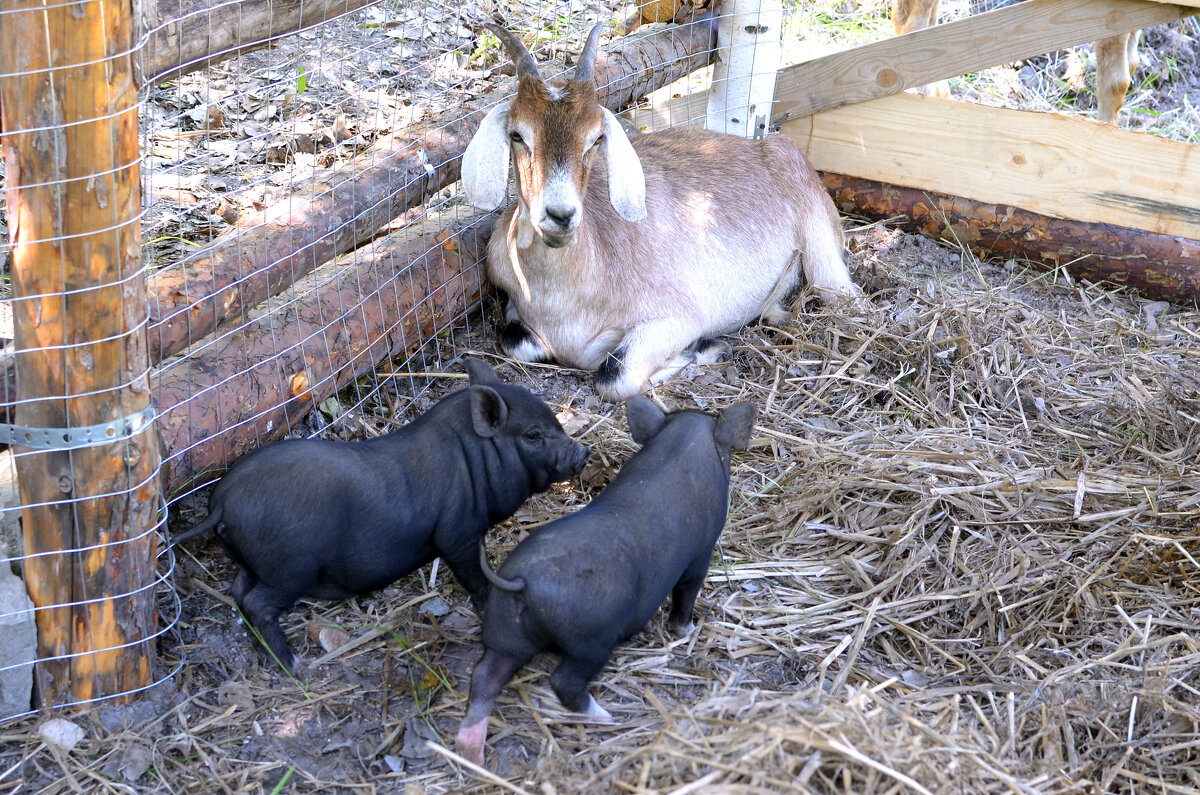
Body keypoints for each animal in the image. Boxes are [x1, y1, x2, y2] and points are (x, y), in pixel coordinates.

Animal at [460, 22, 864, 401]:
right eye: (517, 134)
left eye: (596, 138)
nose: (560, 215)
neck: (559, 297)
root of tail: (763, 145)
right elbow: (515, 342)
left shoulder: (679, 316)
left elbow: (614, 373)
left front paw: (700, 350)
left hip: (822, 255)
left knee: (842, 294)